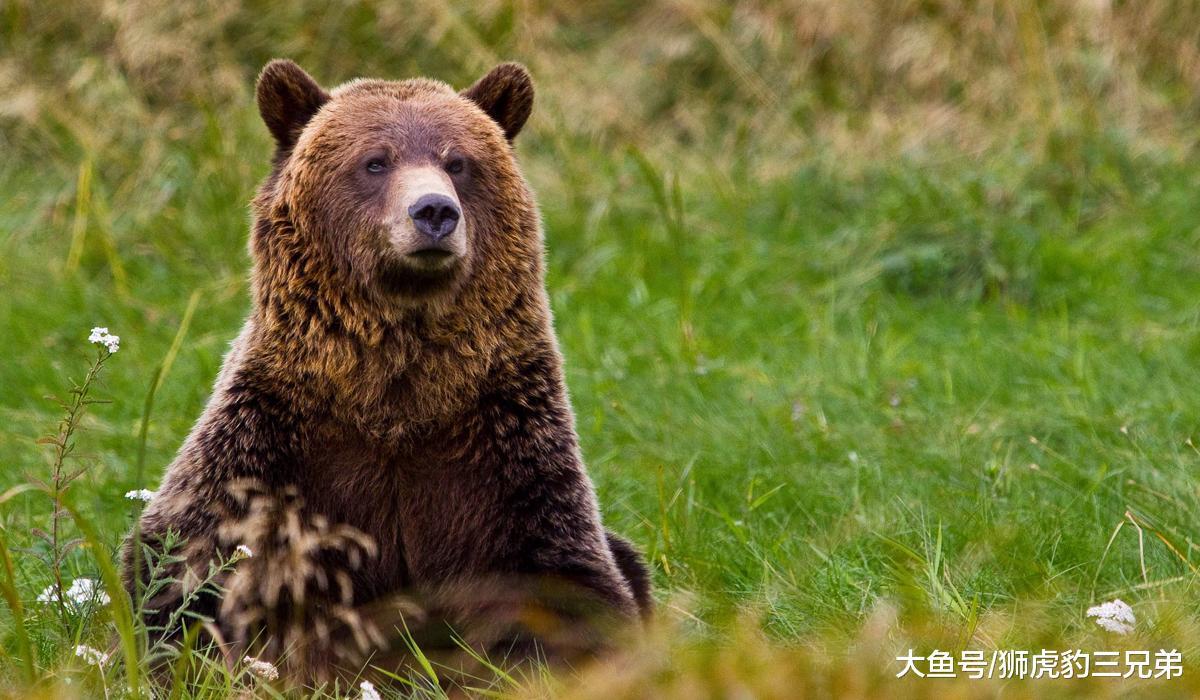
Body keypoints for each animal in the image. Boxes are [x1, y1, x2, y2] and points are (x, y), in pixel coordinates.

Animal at [123, 59, 651, 682]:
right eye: (375, 161)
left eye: (458, 162)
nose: (435, 211)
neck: (395, 389)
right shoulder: (272, 438)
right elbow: (188, 563)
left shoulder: (505, 442)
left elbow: (566, 579)